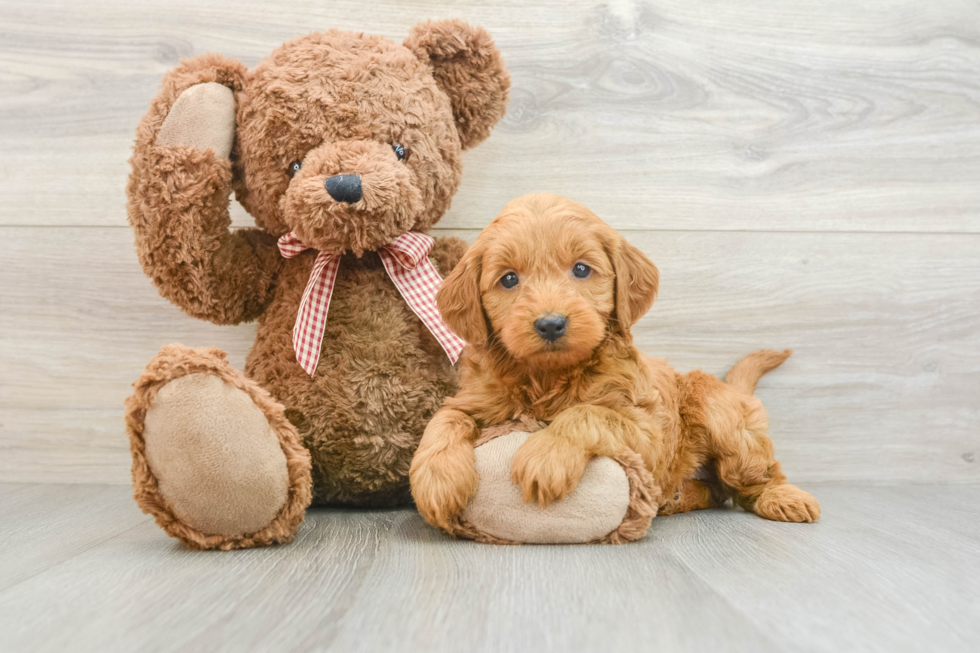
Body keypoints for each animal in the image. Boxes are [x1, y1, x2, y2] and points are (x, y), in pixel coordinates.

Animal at [410, 194, 824, 536]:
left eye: (581, 269)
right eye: (509, 279)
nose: (550, 324)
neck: (548, 377)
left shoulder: (648, 430)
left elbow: (588, 413)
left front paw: (546, 455)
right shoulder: (475, 399)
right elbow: (444, 420)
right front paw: (436, 479)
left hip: (721, 417)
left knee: (753, 476)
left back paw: (783, 498)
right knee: (717, 489)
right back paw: (677, 497)